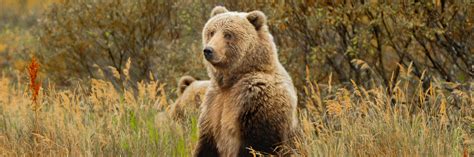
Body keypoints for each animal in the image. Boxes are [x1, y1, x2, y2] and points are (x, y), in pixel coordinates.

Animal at [193, 5, 300, 156]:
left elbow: (259, 144)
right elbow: (207, 143)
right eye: (211, 32)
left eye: (228, 34)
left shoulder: (257, 99)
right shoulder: (213, 104)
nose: (208, 50)